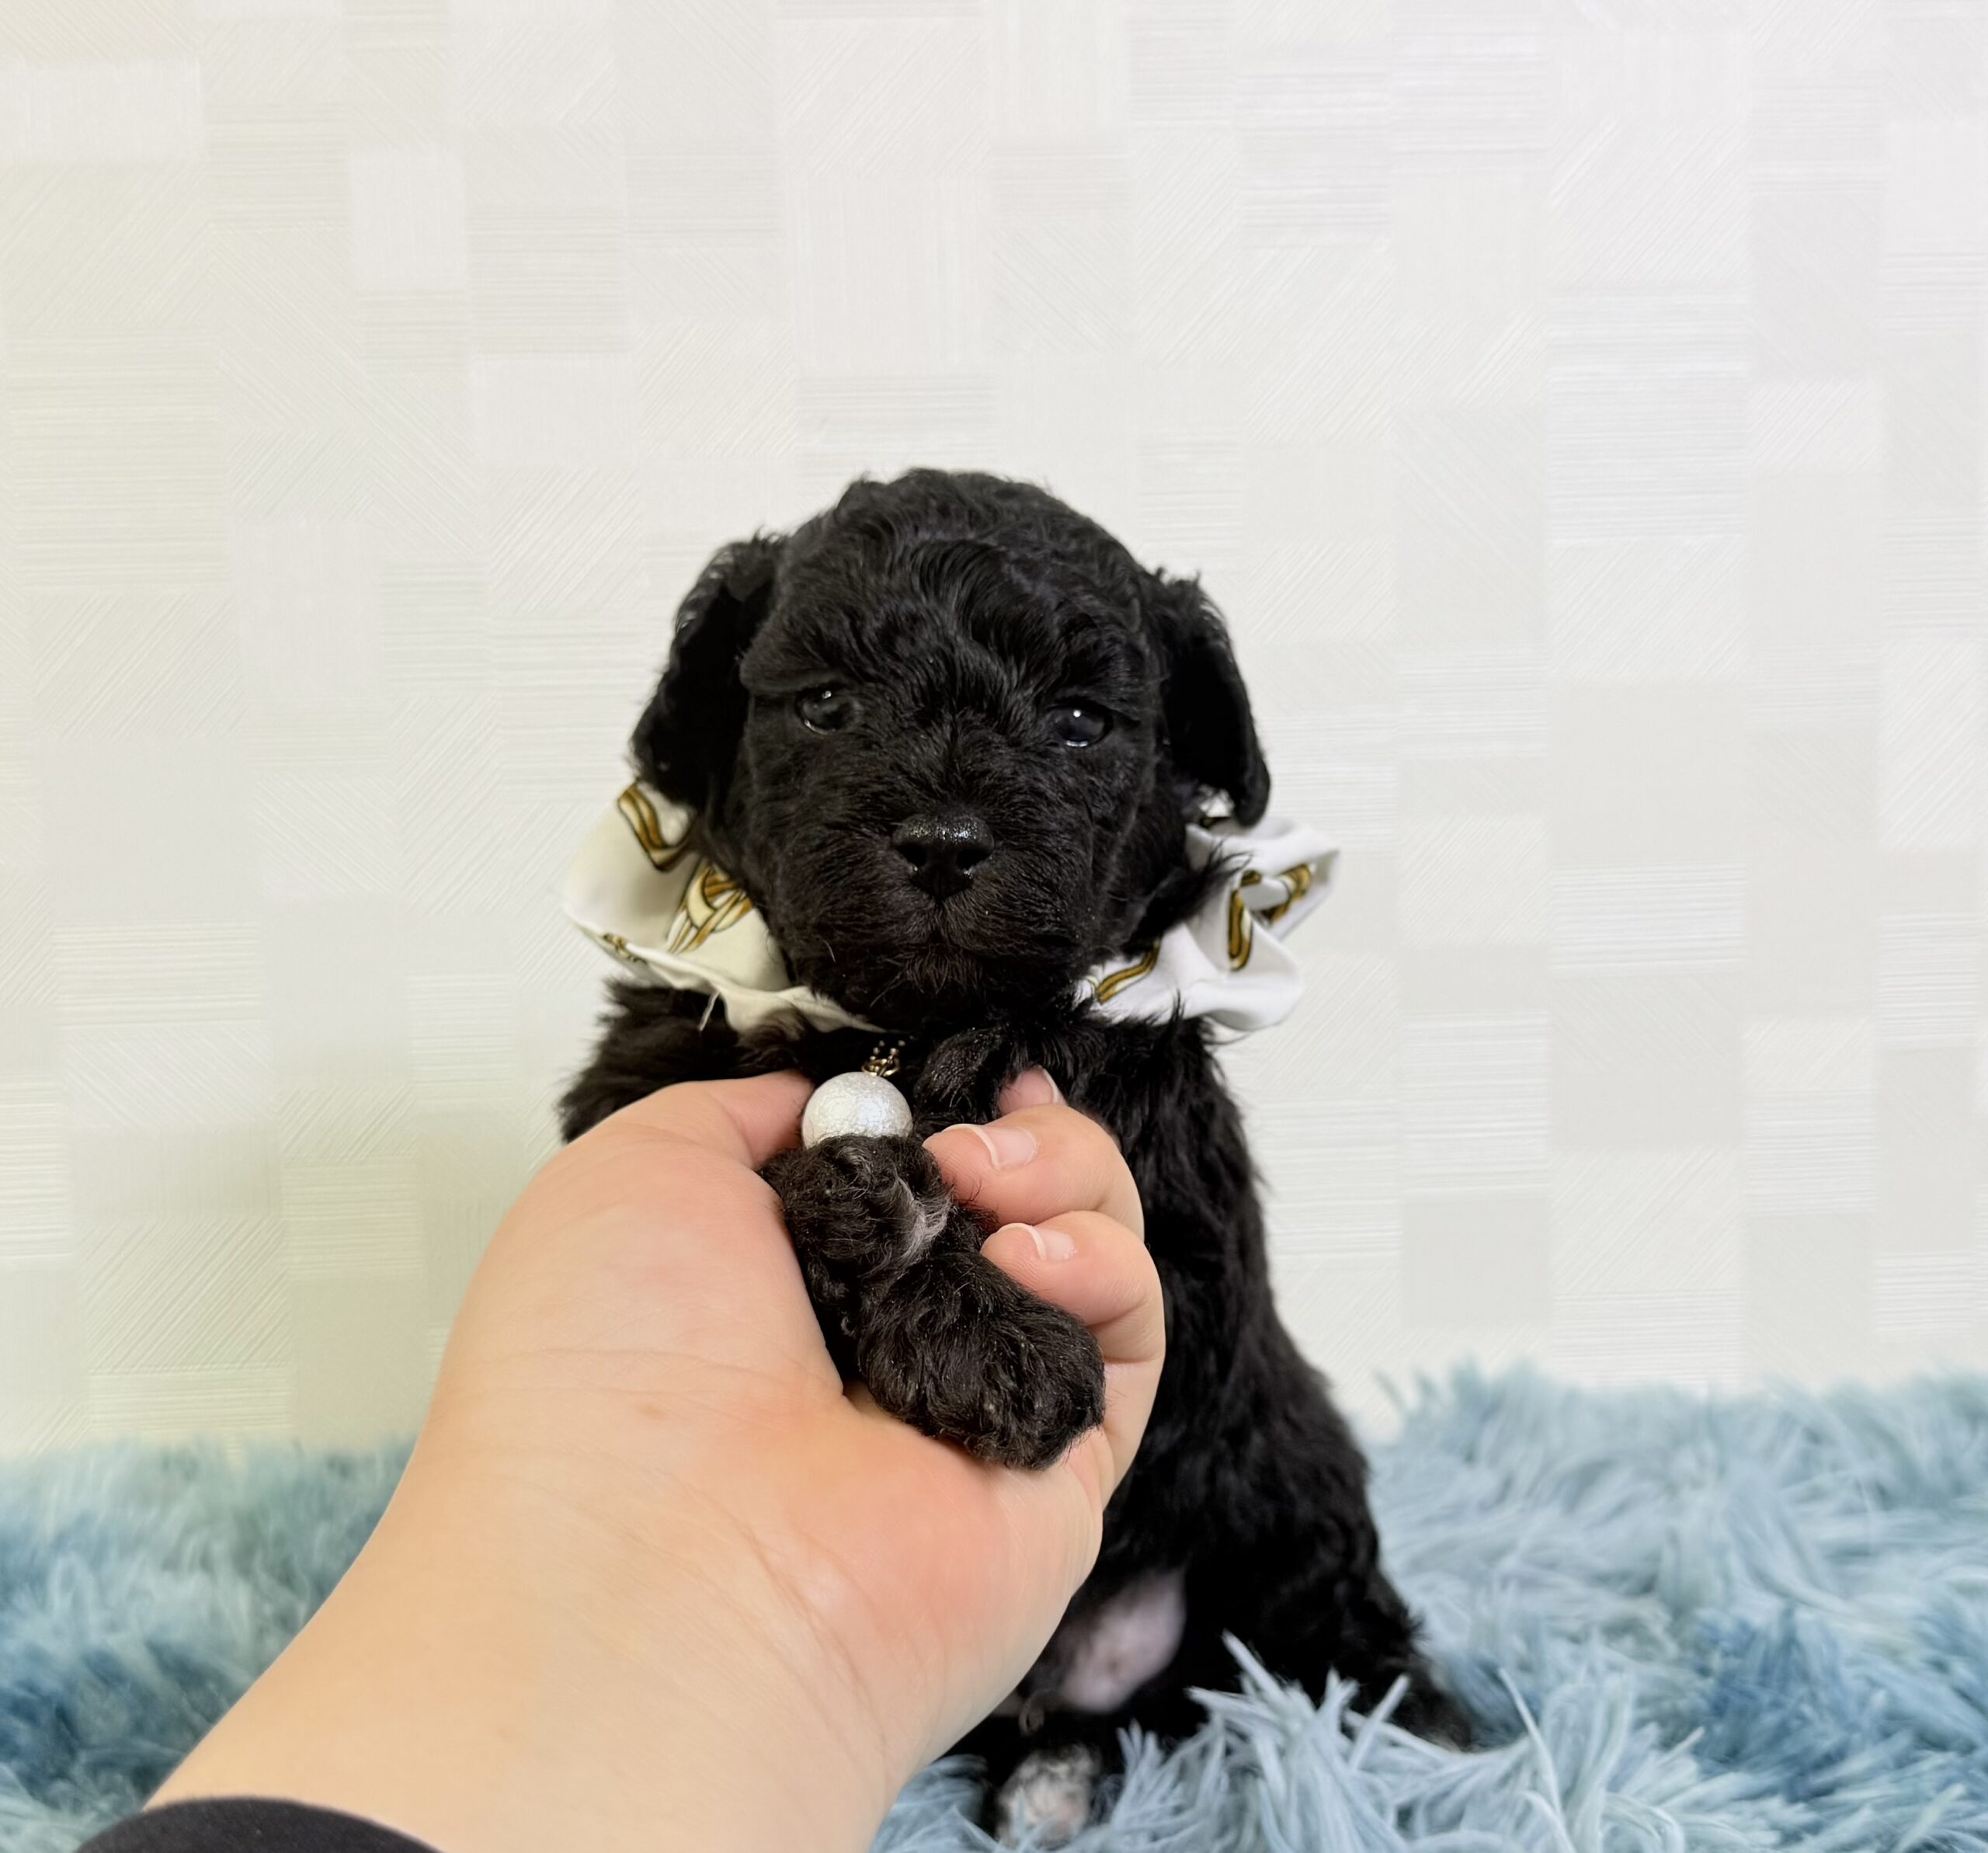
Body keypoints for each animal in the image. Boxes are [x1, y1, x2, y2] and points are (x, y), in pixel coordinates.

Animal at [560, 469, 1467, 1838]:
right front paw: (965, 1311)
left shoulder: (1173, 1200)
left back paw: (1431, 1732)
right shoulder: (638, 1088)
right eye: (825, 704)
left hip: (1284, 1452)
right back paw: (1058, 1776)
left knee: (1323, 1597)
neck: (906, 1025)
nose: (943, 840)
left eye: (1082, 720)